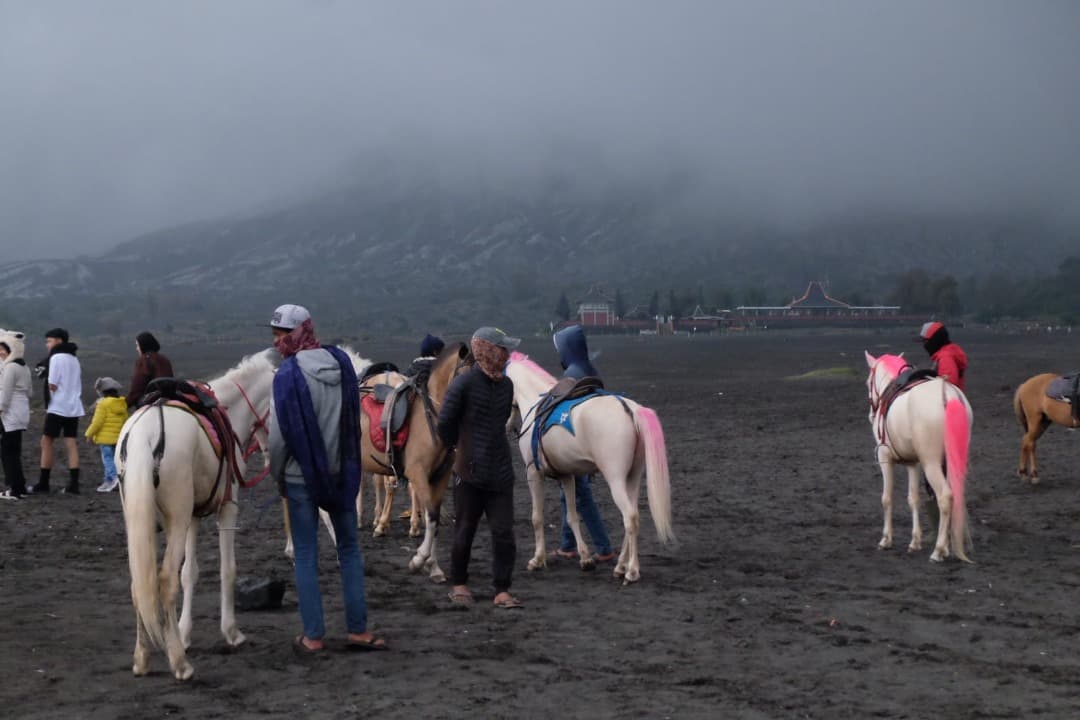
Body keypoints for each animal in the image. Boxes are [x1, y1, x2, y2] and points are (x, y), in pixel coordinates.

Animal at [117, 354, 276, 682]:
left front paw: (183, 632)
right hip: (176, 518)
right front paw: (231, 632)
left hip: (140, 520)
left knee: (140, 582)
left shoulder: (193, 516)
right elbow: (227, 569)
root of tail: (144, 435)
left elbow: (189, 573)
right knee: (164, 580)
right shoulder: (227, 507)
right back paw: (180, 664)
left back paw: (143, 659)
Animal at [501, 351, 669, 582]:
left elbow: (537, 518)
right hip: (632, 477)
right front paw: (585, 558)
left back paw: (632, 570)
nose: (506, 426)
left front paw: (537, 559)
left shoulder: (533, 473)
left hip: (615, 479)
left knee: (630, 518)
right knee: (633, 514)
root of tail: (629, 409)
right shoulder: (567, 476)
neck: (535, 403)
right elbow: (572, 516)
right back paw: (620, 566)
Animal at [864, 354, 976, 561]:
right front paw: (915, 541)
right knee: (956, 496)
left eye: (868, 382)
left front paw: (886, 540)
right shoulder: (913, 463)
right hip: (950, 462)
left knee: (945, 497)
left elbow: (887, 498)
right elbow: (913, 499)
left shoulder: (885, 459)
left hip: (931, 464)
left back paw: (939, 550)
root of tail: (947, 394)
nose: (871, 415)